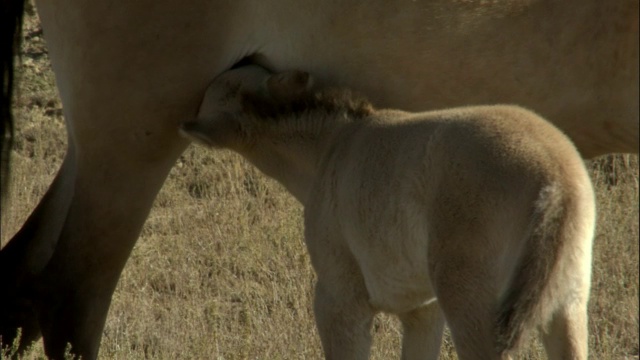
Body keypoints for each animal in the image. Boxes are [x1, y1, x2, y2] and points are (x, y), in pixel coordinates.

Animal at [180, 65, 596, 360]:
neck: (332, 148)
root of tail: (558, 180)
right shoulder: (422, 310)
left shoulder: (339, 300)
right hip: (567, 303)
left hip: (473, 306)